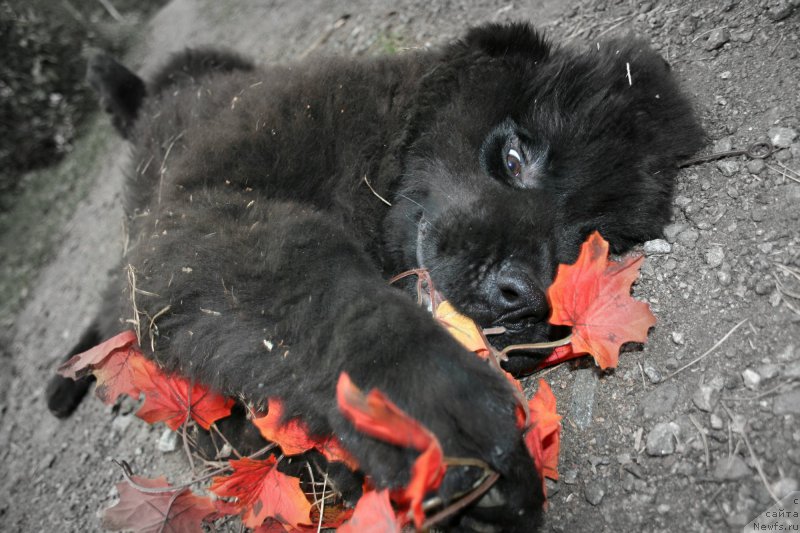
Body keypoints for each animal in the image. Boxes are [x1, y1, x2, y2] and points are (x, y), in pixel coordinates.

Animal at [47, 22, 704, 528]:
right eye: (515, 160)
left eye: (588, 241)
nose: (523, 297)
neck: (373, 143)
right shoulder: (194, 220)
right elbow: (316, 289)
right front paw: (431, 406)